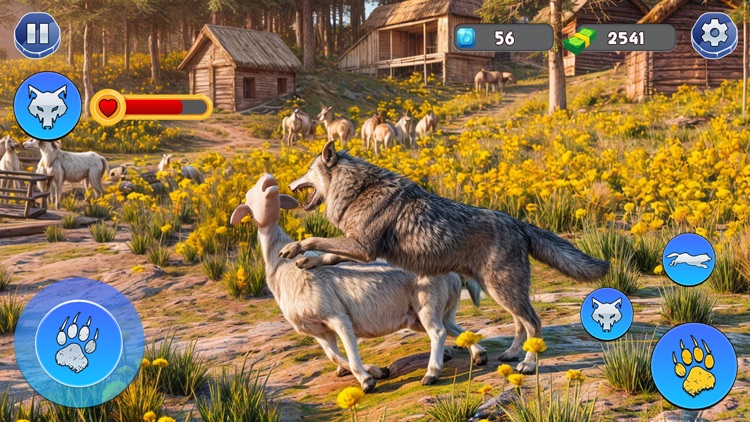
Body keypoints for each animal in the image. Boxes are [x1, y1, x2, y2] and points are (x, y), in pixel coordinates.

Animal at [278, 141, 610, 373]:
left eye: (306, 170)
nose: (289, 185)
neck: (357, 191)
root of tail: (517, 222)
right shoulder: (359, 248)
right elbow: (325, 253)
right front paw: (305, 260)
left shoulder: (362, 247)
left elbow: (316, 239)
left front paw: (294, 249)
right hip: (500, 292)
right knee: (520, 323)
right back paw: (512, 353)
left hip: (503, 291)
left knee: (534, 322)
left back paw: (527, 364)